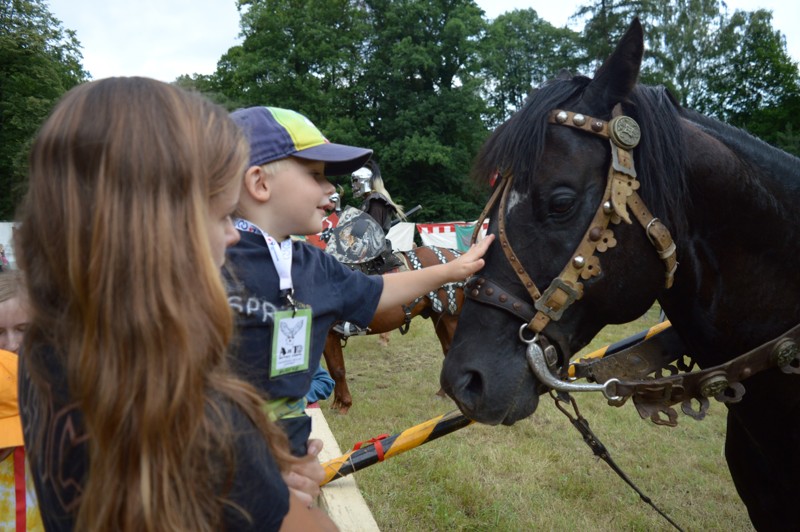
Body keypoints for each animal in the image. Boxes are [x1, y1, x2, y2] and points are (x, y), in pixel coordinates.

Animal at [324, 245, 462, 416]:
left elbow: (337, 370)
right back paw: (442, 393)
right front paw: (339, 403)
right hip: (438, 316)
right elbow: (335, 368)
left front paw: (344, 404)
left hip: (451, 318)